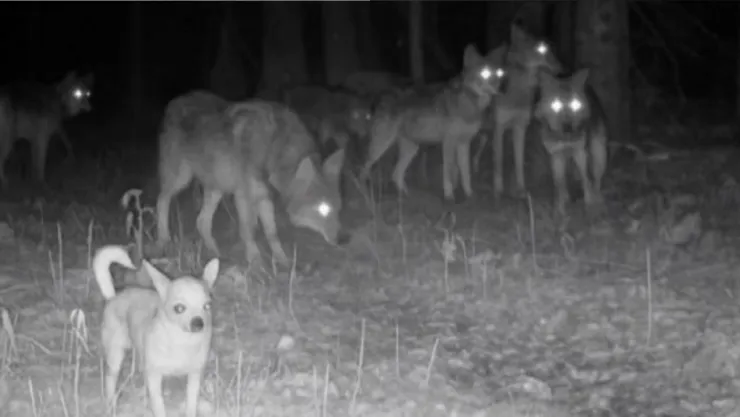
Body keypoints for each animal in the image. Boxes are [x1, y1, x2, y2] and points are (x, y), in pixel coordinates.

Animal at [156, 91, 346, 265]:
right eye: (322, 209)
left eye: (338, 208)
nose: (342, 240)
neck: (273, 148)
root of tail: (175, 101)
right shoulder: (244, 196)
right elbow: (249, 230)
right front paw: (255, 262)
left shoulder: (265, 197)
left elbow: (272, 233)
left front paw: (282, 260)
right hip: (182, 179)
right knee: (162, 200)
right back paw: (164, 240)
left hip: (216, 188)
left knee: (201, 221)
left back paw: (217, 254)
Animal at [360, 44, 507, 201]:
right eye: (484, 73)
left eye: (498, 74)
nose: (498, 89)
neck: (469, 103)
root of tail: (381, 96)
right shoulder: (448, 142)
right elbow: (449, 172)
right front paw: (449, 197)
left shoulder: (464, 143)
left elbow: (465, 173)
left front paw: (470, 195)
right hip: (380, 147)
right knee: (363, 170)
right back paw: (365, 194)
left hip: (412, 149)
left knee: (396, 174)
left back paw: (407, 197)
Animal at [473, 24, 563, 199]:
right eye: (541, 50)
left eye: (552, 50)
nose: (562, 68)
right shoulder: (499, 128)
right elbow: (499, 161)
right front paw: (498, 192)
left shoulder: (520, 127)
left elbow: (519, 162)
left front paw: (521, 190)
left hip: (485, 135)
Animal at [534, 68, 608, 215]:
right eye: (556, 105)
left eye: (575, 104)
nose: (568, 127)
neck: (564, 138)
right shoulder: (555, 155)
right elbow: (559, 183)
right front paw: (558, 210)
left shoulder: (580, 152)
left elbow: (585, 178)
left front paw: (590, 204)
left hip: (599, 152)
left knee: (596, 178)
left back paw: (598, 198)